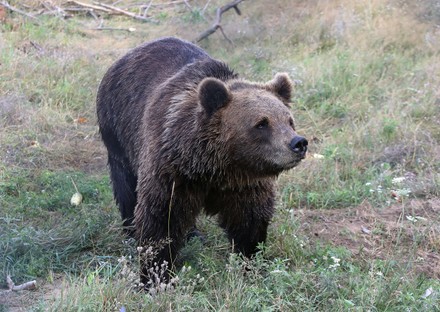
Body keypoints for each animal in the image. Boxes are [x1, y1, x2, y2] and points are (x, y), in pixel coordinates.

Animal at [97, 37, 306, 288]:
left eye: (289, 120)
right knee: (126, 186)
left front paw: (250, 263)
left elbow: (250, 220)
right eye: (262, 123)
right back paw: (131, 230)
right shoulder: (172, 170)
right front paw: (155, 277)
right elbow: (161, 217)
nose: (298, 143)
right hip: (117, 132)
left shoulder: (245, 184)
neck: (215, 166)